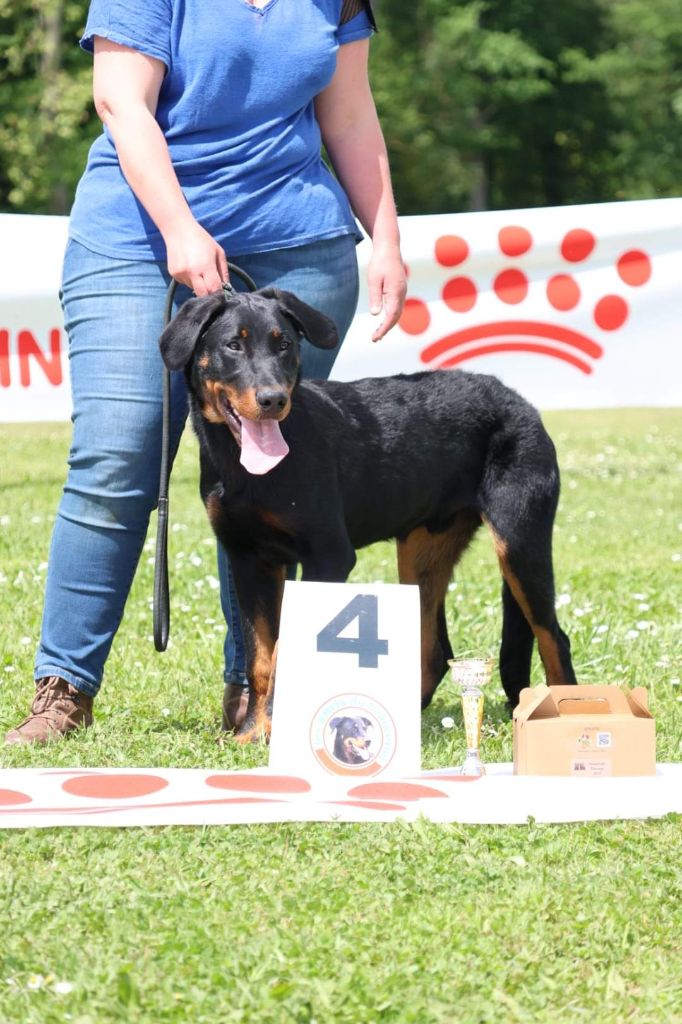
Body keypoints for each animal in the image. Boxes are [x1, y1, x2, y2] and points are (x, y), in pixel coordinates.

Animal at [160, 284, 573, 741]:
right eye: (233, 345)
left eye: (284, 345)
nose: (273, 400)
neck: (246, 465)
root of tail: (518, 400)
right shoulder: (250, 561)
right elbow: (261, 658)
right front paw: (252, 733)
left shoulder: (328, 555)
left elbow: (286, 651)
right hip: (423, 550)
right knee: (434, 648)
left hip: (519, 538)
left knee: (553, 636)